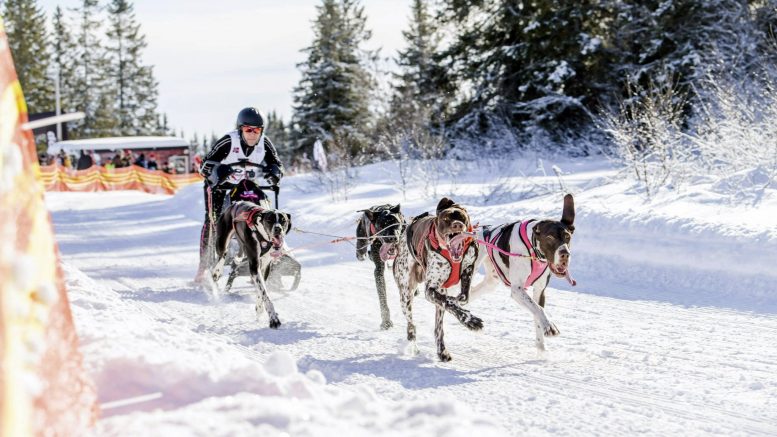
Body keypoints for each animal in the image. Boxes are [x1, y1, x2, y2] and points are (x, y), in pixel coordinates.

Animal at [209, 200, 292, 328]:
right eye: (269, 220)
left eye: (283, 220)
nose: (278, 229)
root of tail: (236, 203)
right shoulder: (254, 265)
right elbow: (264, 293)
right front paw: (273, 318)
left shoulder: (265, 266)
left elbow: (262, 289)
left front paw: (259, 308)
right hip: (222, 241)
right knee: (222, 255)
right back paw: (216, 273)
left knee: (236, 258)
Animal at [392, 198, 482, 362]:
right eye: (446, 219)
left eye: (462, 217)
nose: (457, 225)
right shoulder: (430, 290)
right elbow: (450, 303)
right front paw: (470, 320)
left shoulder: (468, 269)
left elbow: (462, 298)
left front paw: (458, 302)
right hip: (406, 295)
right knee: (411, 324)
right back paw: (412, 339)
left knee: (438, 328)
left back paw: (442, 351)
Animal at [466, 192, 576, 350]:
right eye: (550, 237)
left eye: (567, 236)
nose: (565, 254)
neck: (533, 252)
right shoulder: (517, 290)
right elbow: (538, 309)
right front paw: (549, 326)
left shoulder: (539, 291)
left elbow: (537, 311)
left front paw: (541, 347)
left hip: (490, 283)